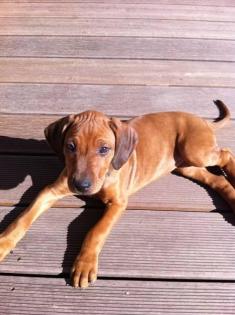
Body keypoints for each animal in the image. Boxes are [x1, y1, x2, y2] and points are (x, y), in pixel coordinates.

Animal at [0, 100, 235, 288]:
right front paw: (3, 243)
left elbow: (96, 231)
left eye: (104, 149)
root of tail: (202, 120)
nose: (81, 185)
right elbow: (22, 218)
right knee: (217, 179)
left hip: (194, 150)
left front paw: (84, 264)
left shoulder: (118, 202)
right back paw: (231, 196)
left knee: (226, 154)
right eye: (70, 146)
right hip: (184, 165)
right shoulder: (51, 190)